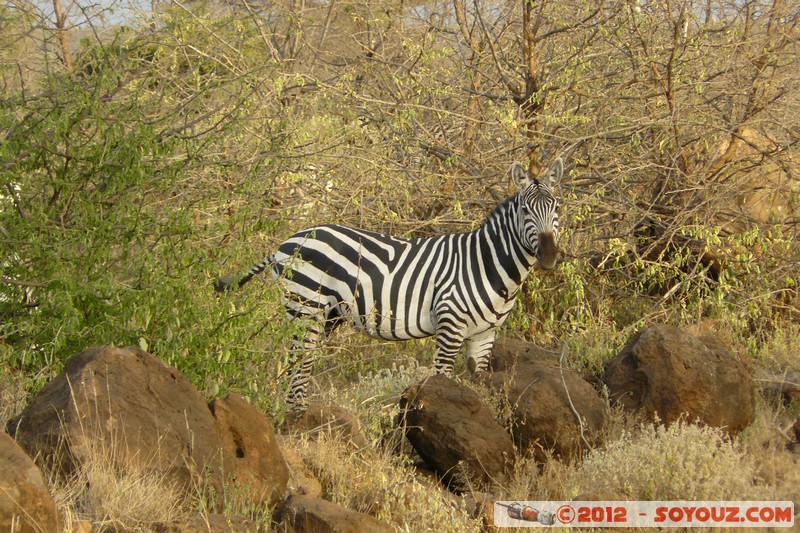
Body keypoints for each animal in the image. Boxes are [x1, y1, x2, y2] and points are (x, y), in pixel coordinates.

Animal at [216, 158, 564, 410]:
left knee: (302, 363)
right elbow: (442, 380)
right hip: (304, 307)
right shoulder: (449, 326)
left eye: (557, 208)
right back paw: (295, 417)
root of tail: (287, 241)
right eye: (525, 209)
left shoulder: (484, 335)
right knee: (297, 362)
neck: (487, 263)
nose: (548, 255)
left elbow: (478, 384)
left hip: (324, 315)